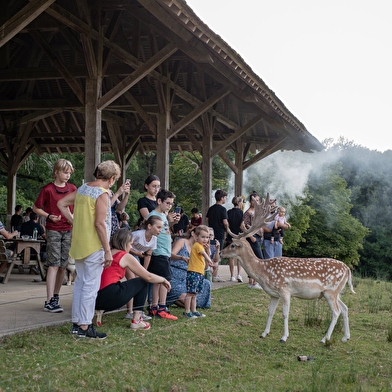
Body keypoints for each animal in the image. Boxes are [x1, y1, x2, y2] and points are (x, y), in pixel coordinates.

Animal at [220, 194, 356, 344]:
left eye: (233, 245)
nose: (220, 252)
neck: (263, 272)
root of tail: (347, 269)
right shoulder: (274, 294)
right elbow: (270, 311)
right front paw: (264, 333)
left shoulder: (285, 290)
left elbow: (285, 314)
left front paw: (284, 337)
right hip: (337, 292)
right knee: (345, 308)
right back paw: (345, 337)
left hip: (331, 291)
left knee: (336, 312)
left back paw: (324, 339)